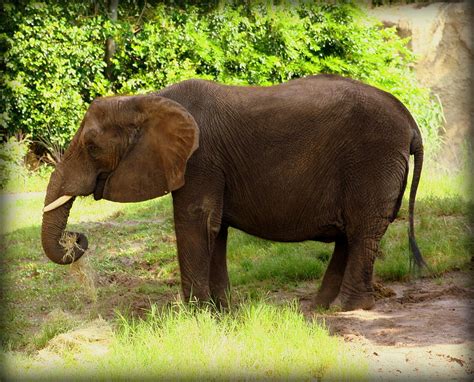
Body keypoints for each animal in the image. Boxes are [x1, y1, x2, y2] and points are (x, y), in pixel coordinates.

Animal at [41, 74, 426, 310]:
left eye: (92, 147)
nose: (78, 237)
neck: (149, 101)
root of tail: (411, 122)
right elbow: (216, 227)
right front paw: (222, 311)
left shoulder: (200, 159)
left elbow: (196, 222)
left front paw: (193, 316)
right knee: (352, 234)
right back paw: (320, 308)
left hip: (372, 161)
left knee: (362, 231)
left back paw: (347, 309)